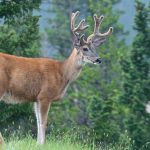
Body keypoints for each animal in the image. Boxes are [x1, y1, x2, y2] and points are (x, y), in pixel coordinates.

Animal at [0, 11, 112, 145]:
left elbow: (38, 122)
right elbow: (43, 122)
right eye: (85, 48)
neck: (62, 73)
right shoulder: (45, 96)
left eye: (95, 48)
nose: (98, 59)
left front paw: (37, 144)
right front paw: (42, 144)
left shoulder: (36, 99)